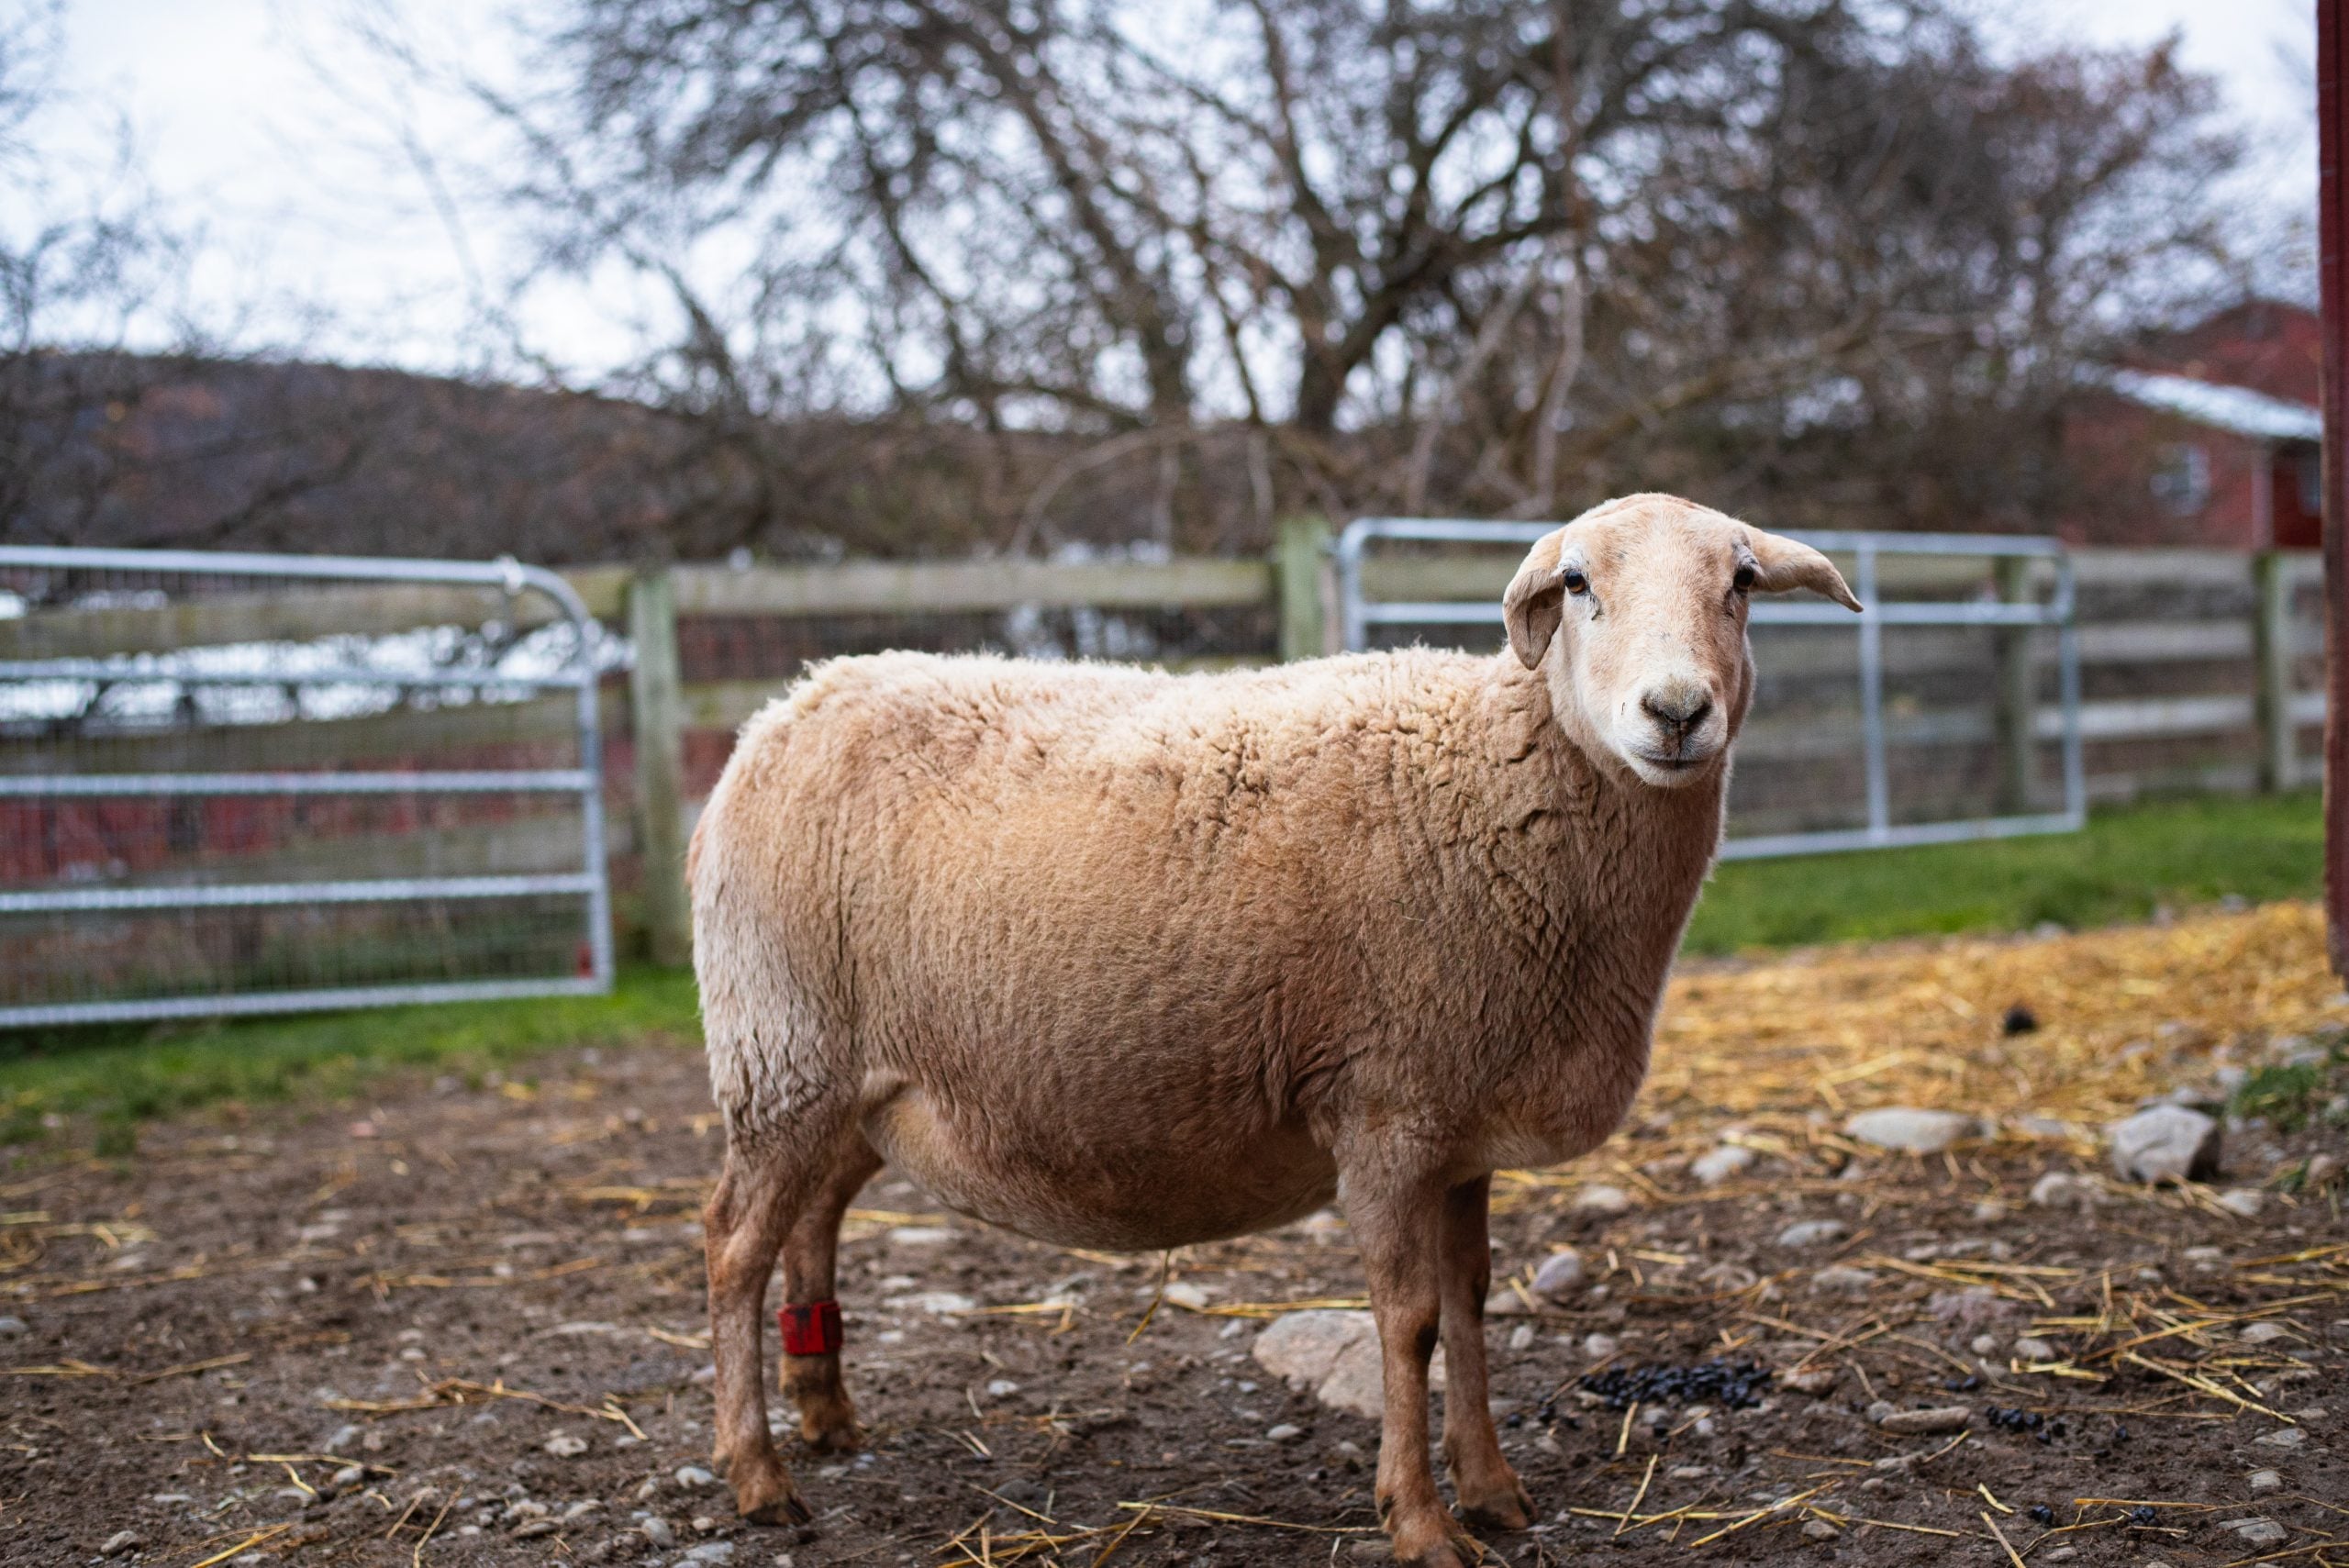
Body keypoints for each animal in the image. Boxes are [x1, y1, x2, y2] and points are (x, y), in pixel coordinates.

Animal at [686, 492, 1859, 1566]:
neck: (1505, 774)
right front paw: (1420, 1519)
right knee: (734, 1244)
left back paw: (827, 1412)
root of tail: (782, 709)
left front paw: (1492, 1488)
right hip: (781, 1047)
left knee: (814, 1218)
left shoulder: (1462, 1122)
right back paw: (758, 1473)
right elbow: (1410, 1320)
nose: (1676, 710)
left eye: (1742, 581)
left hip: (859, 1077)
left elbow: (1474, 1303)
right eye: (1576, 584)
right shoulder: (1387, 1108)